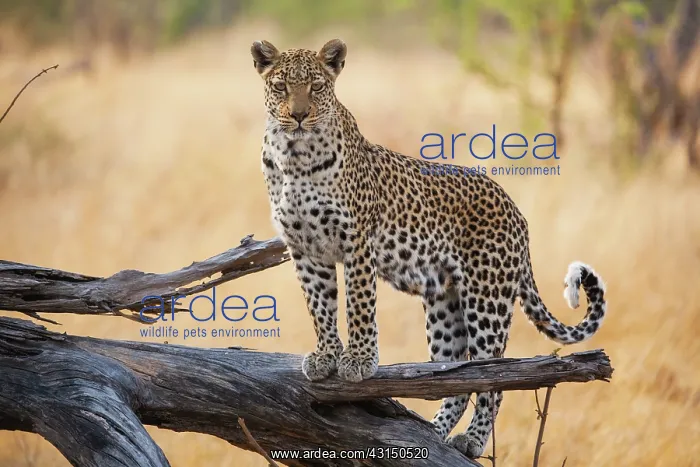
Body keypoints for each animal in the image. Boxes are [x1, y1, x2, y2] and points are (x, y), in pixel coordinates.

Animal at [251, 38, 608, 459]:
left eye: (317, 87)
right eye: (281, 87)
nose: (299, 115)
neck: (294, 155)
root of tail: (516, 212)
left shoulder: (356, 243)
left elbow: (358, 306)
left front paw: (359, 360)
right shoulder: (306, 249)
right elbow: (319, 307)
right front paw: (325, 356)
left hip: (487, 299)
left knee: (493, 377)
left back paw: (471, 440)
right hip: (444, 306)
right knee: (453, 377)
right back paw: (428, 433)